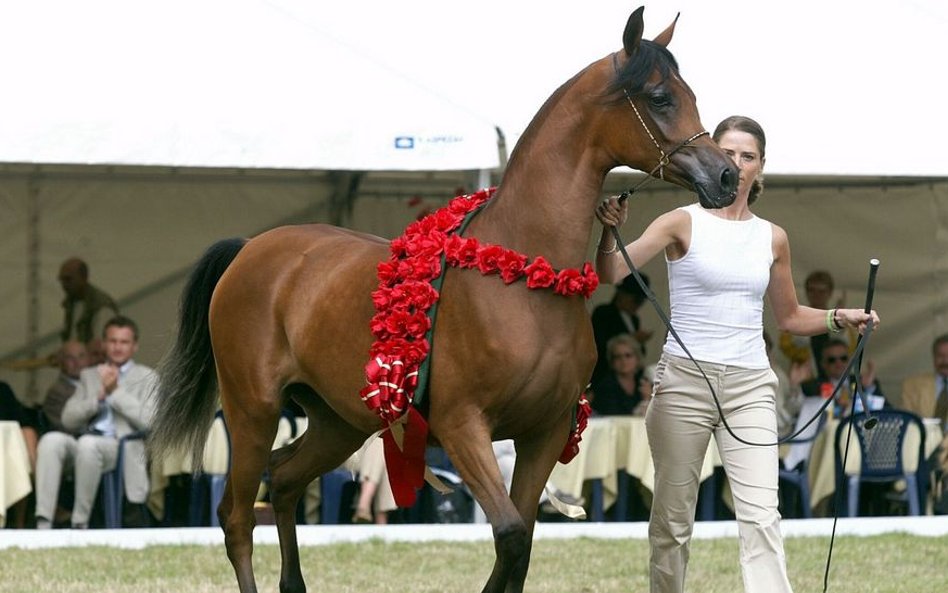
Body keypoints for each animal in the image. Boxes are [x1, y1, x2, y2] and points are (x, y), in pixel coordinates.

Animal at [150, 8, 740, 592]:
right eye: (660, 98)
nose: (728, 176)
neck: (526, 278)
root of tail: (251, 249)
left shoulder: (543, 435)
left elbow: (520, 546)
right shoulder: (464, 428)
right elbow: (508, 535)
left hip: (337, 422)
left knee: (285, 480)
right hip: (253, 411)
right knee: (237, 517)